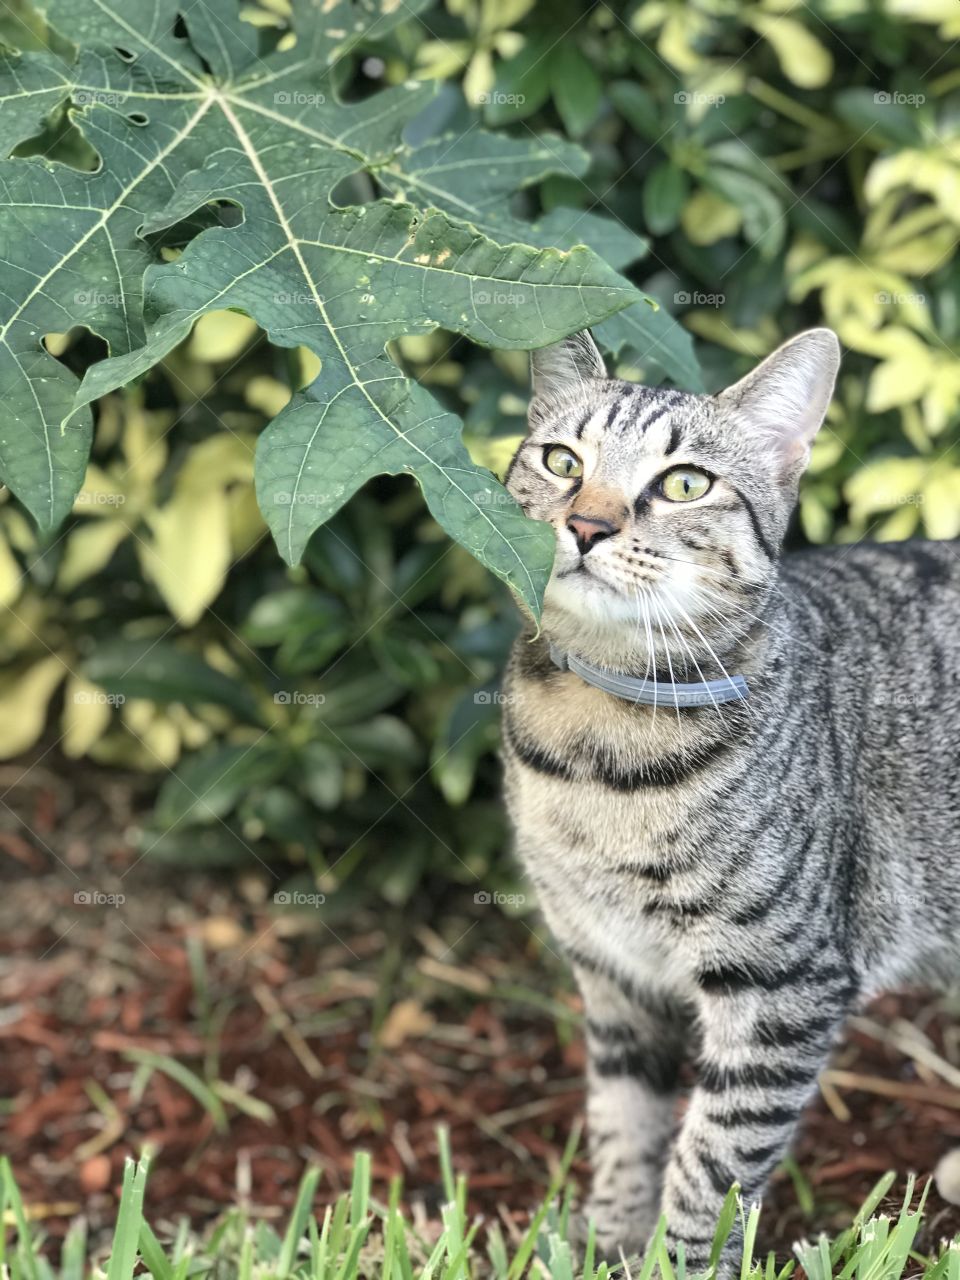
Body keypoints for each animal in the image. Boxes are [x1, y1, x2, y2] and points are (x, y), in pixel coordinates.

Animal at [499, 327, 960, 1269]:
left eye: (685, 484)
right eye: (562, 461)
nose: (587, 524)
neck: (596, 746)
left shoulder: (780, 983)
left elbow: (712, 1163)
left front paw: (672, 1263)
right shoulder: (610, 971)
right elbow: (625, 1120)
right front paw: (610, 1238)